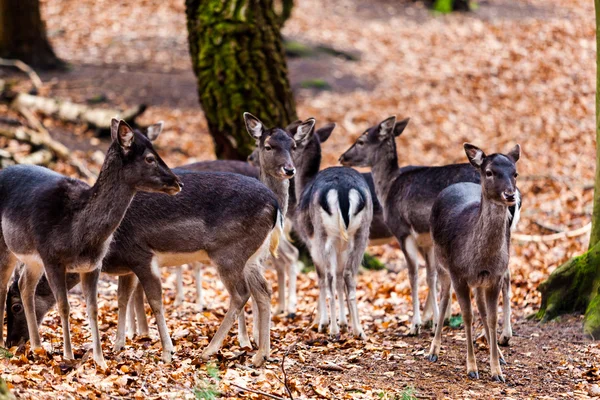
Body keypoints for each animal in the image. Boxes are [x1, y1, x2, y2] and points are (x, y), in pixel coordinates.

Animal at [426, 143, 520, 382]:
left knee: (482, 308)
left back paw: (500, 355)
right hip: (441, 262)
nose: (510, 194)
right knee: (443, 298)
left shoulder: (494, 276)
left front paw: (497, 371)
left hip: (479, 281)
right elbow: (467, 317)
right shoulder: (459, 275)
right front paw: (471, 368)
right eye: (489, 172)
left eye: (515, 173)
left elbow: (492, 317)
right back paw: (433, 351)